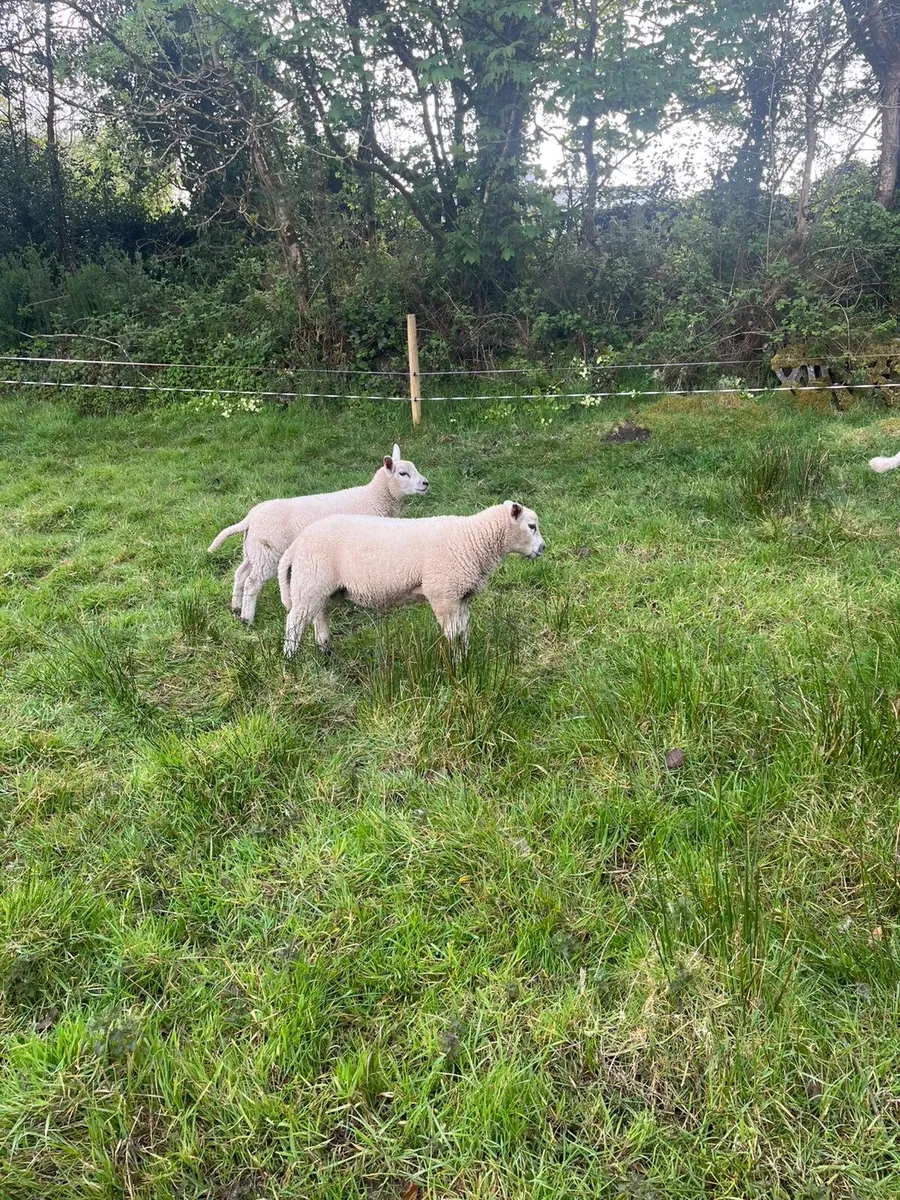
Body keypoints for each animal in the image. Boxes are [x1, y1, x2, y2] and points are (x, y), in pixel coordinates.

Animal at [207, 444, 429, 623]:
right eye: (403, 473)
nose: (426, 483)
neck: (375, 496)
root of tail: (250, 517)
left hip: (254, 551)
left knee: (240, 574)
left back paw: (236, 607)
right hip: (268, 553)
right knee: (252, 583)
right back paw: (247, 618)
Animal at [278, 500, 545, 657]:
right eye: (531, 526)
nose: (543, 548)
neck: (473, 539)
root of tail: (297, 544)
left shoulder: (461, 596)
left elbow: (464, 631)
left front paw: (466, 656)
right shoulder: (443, 594)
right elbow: (453, 634)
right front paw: (456, 665)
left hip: (324, 588)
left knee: (319, 617)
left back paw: (325, 651)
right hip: (310, 583)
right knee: (294, 622)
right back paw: (290, 659)